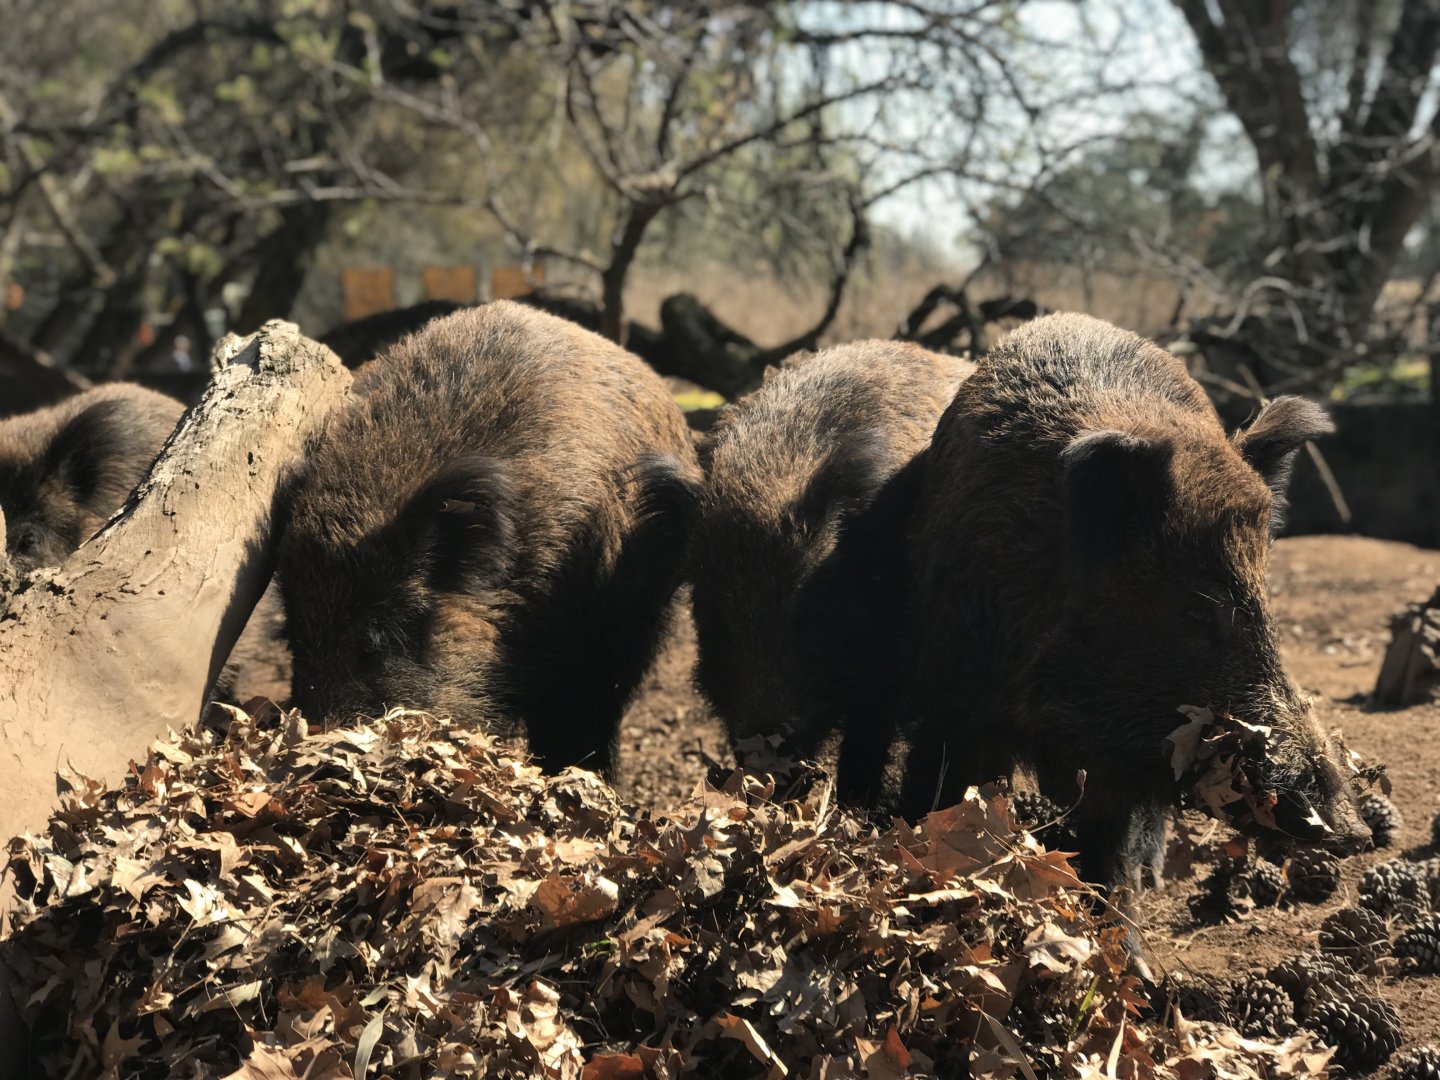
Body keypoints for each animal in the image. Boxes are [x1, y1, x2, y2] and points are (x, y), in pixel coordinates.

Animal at [690, 341, 973, 801]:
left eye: (803, 616)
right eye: (721, 619)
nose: (765, 751)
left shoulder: (889, 659)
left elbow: (868, 731)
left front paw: (856, 805)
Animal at [894, 313, 1368, 890]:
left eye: (1267, 604)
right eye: (1194, 610)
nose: (1354, 832)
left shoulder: (1117, 762)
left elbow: (1112, 847)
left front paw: (1122, 906)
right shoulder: (952, 695)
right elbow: (940, 794)